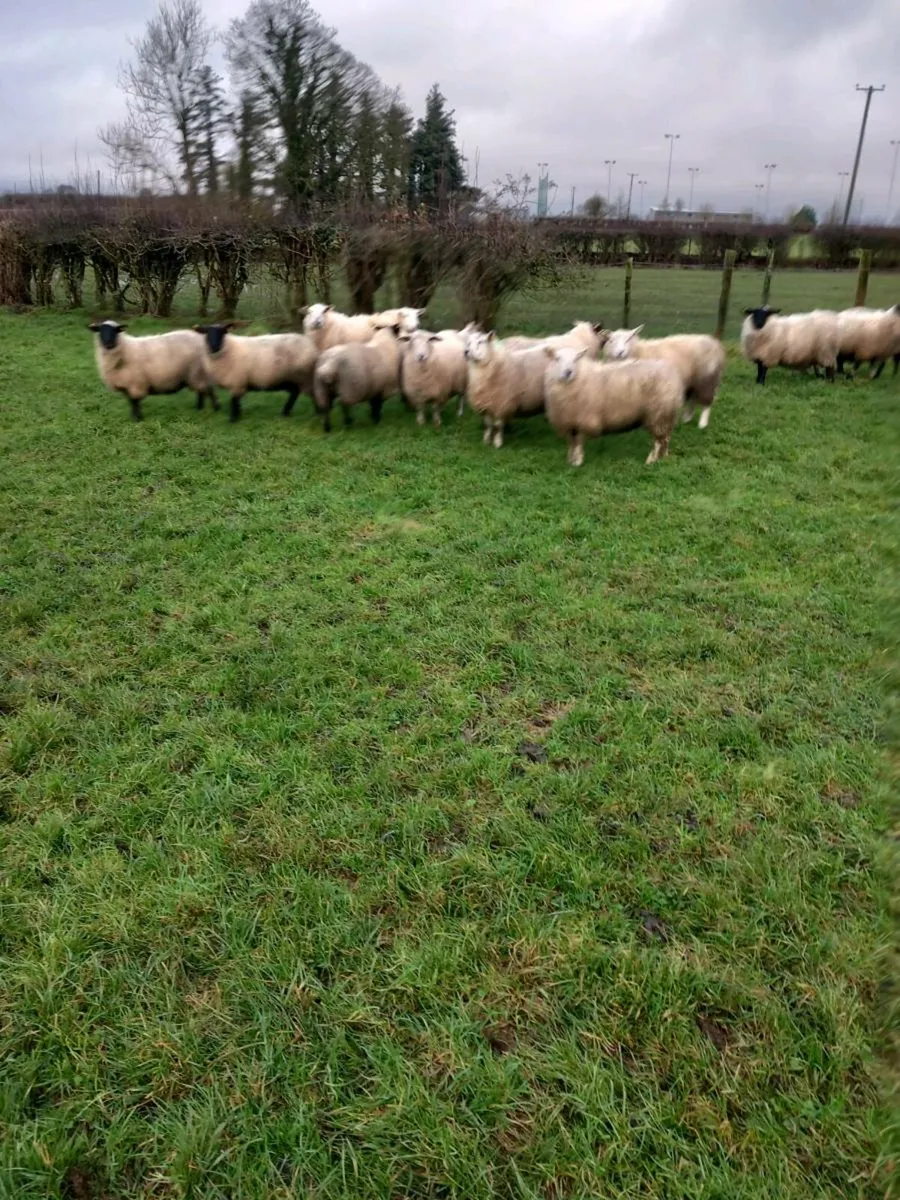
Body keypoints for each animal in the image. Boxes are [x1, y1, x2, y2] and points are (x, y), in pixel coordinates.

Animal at [88, 320, 217, 422]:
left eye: (116, 331)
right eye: (100, 330)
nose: (108, 344)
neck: (125, 350)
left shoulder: (136, 383)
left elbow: (135, 401)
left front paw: (137, 419)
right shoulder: (127, 384)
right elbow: (131, 401)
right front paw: (133, 417)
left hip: (199, 372)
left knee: (208, 390)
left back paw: (214, 408)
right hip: (197, 375)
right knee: (202, 391)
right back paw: (199, 408)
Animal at [544, 347, 684, 467]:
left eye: (576, 359)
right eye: (557, 358)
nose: (568, 372)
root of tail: (672, 372)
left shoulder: (582, 420)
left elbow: (577, 443)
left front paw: (577, 462)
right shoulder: (568, 422)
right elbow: (571, 443)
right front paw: (570, 460)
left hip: (658, 412)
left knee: (658, 441)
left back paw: (651, 460)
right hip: (666, 413)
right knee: (666, 438)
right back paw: (664, 457)